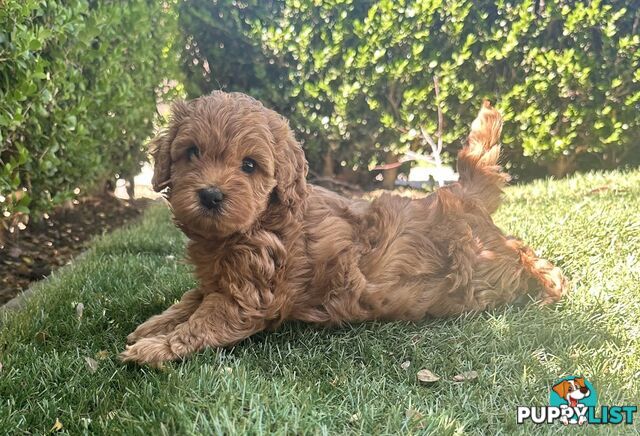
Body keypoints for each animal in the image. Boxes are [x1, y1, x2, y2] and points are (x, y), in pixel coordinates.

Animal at [119, 92, 564, 364]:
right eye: (191, 152)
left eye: (249, 165)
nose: (211, 195)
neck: (261, 220)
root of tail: (461, 194)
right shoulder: (217, 281)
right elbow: (189, 300)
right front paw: (153, 325)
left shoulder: (247, 299)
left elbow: (202, 323)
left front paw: (155, 347)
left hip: (483, 272)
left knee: (519, 255)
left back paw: (548, 281)